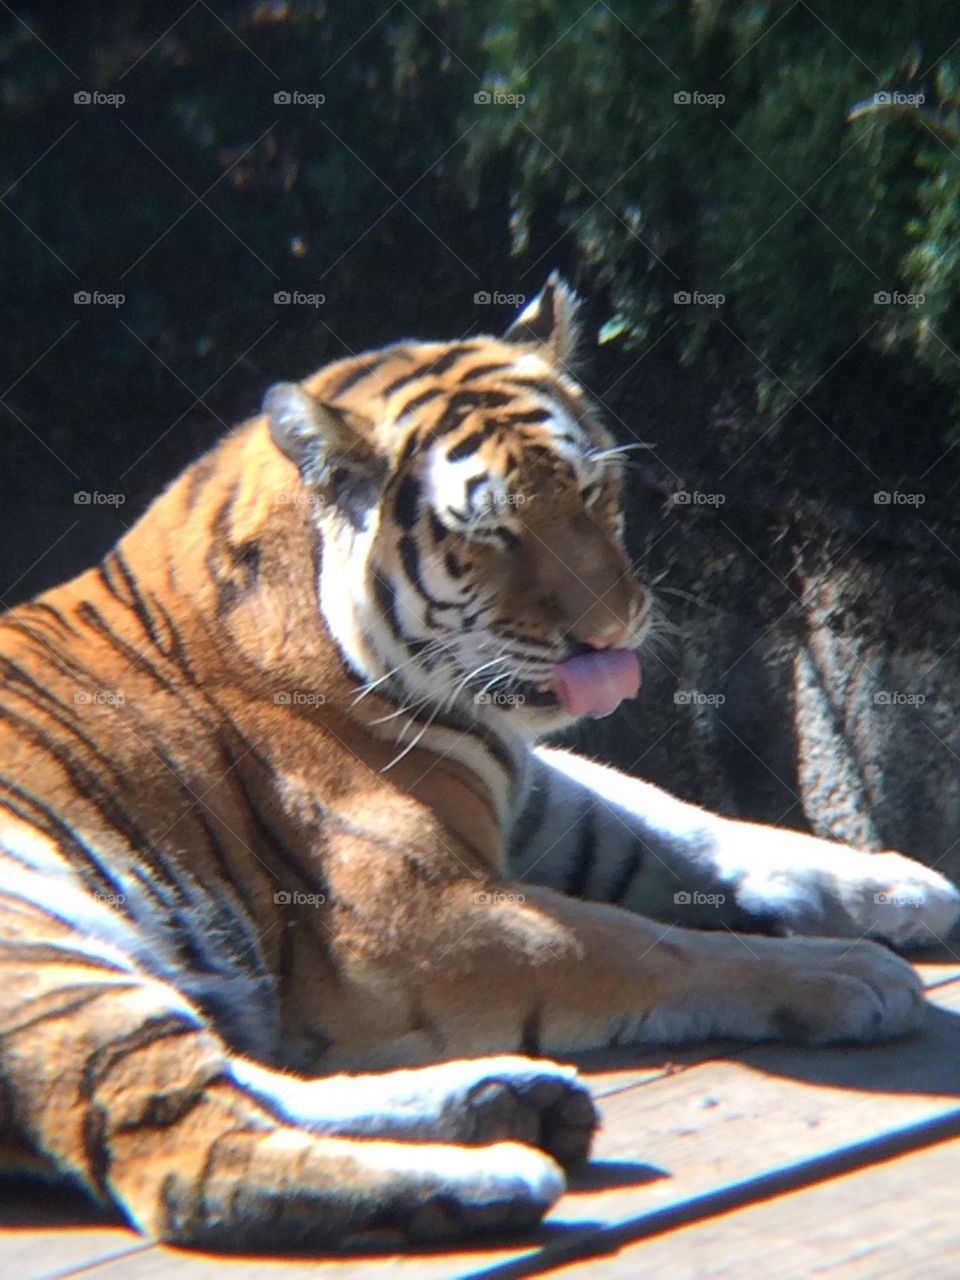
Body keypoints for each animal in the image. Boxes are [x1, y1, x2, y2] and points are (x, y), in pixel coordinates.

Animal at [0, 274, 957, 1253]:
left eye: (590, 490)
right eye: (493, 531)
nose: (610, 634)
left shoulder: (522, 789)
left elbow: (680, 823)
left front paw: (898, 885)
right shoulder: (410, 916)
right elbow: (648, 943)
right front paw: (849, 972)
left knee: (237, 1078)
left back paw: (507, 1100)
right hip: (43, 948)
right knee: (182, 1153)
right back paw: (494, 1175)